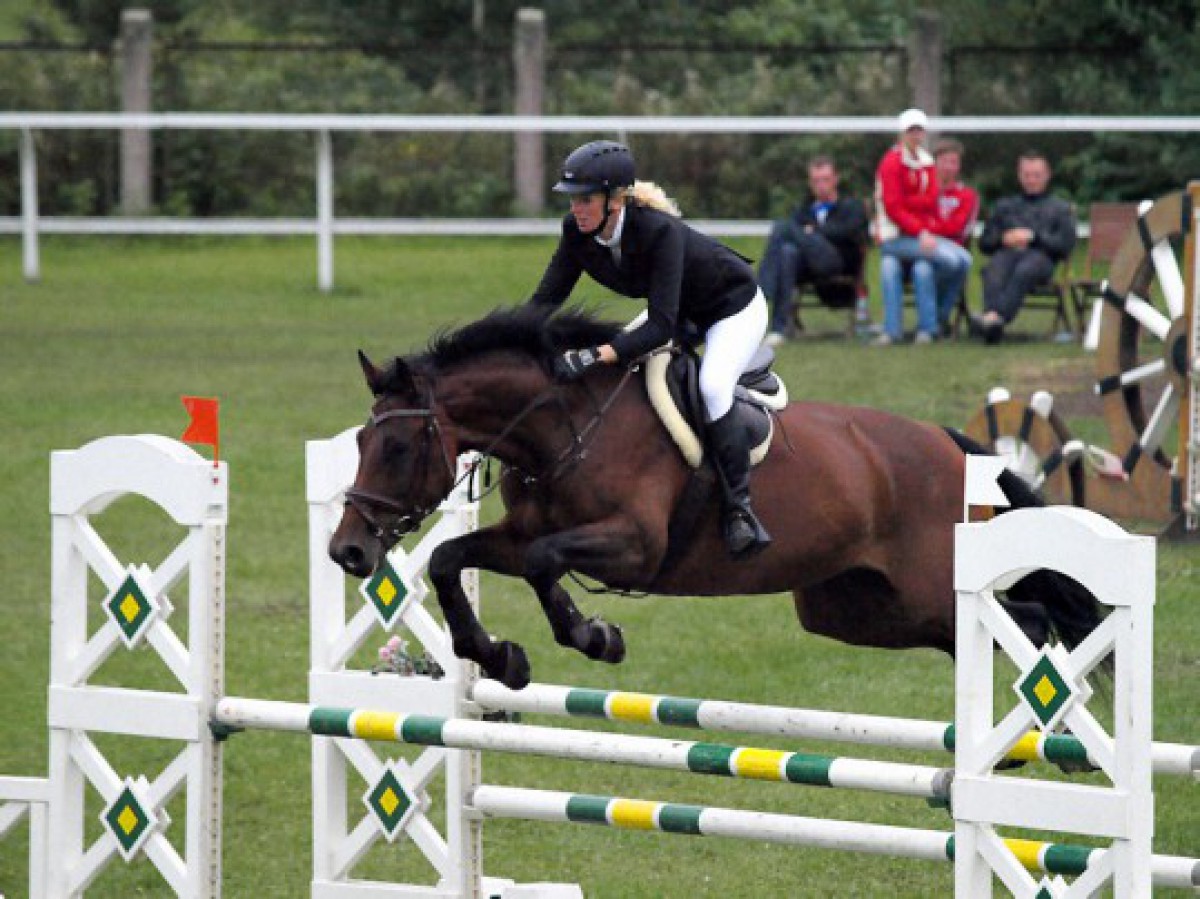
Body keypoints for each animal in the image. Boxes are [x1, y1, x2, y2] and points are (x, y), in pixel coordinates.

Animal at [329, 304, 1105, 690]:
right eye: (361, 441)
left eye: (397, 448)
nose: (348, 551)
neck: (566, 425)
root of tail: (950, 446)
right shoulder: (518, 537)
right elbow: (449, 561)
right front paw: (500, 658)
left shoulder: (634, 547)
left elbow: (550, 564)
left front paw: (594, 635)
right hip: (858, 607)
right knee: (974, 631)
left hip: (927, 584)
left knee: (1031, 619)